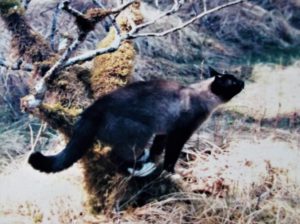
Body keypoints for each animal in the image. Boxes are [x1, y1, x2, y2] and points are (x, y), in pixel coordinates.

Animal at [28, 67, 244, 176]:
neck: (203, 96)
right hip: (141, 131)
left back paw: (143, 161)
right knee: (117, 159)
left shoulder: (163, 131)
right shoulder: (179, 135)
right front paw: (170, 172)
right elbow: (171, 157)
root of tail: (94, 109)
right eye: (233, 82)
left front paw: (153, 158)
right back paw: (140, 169)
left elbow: (158, 149)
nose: (243, 82)